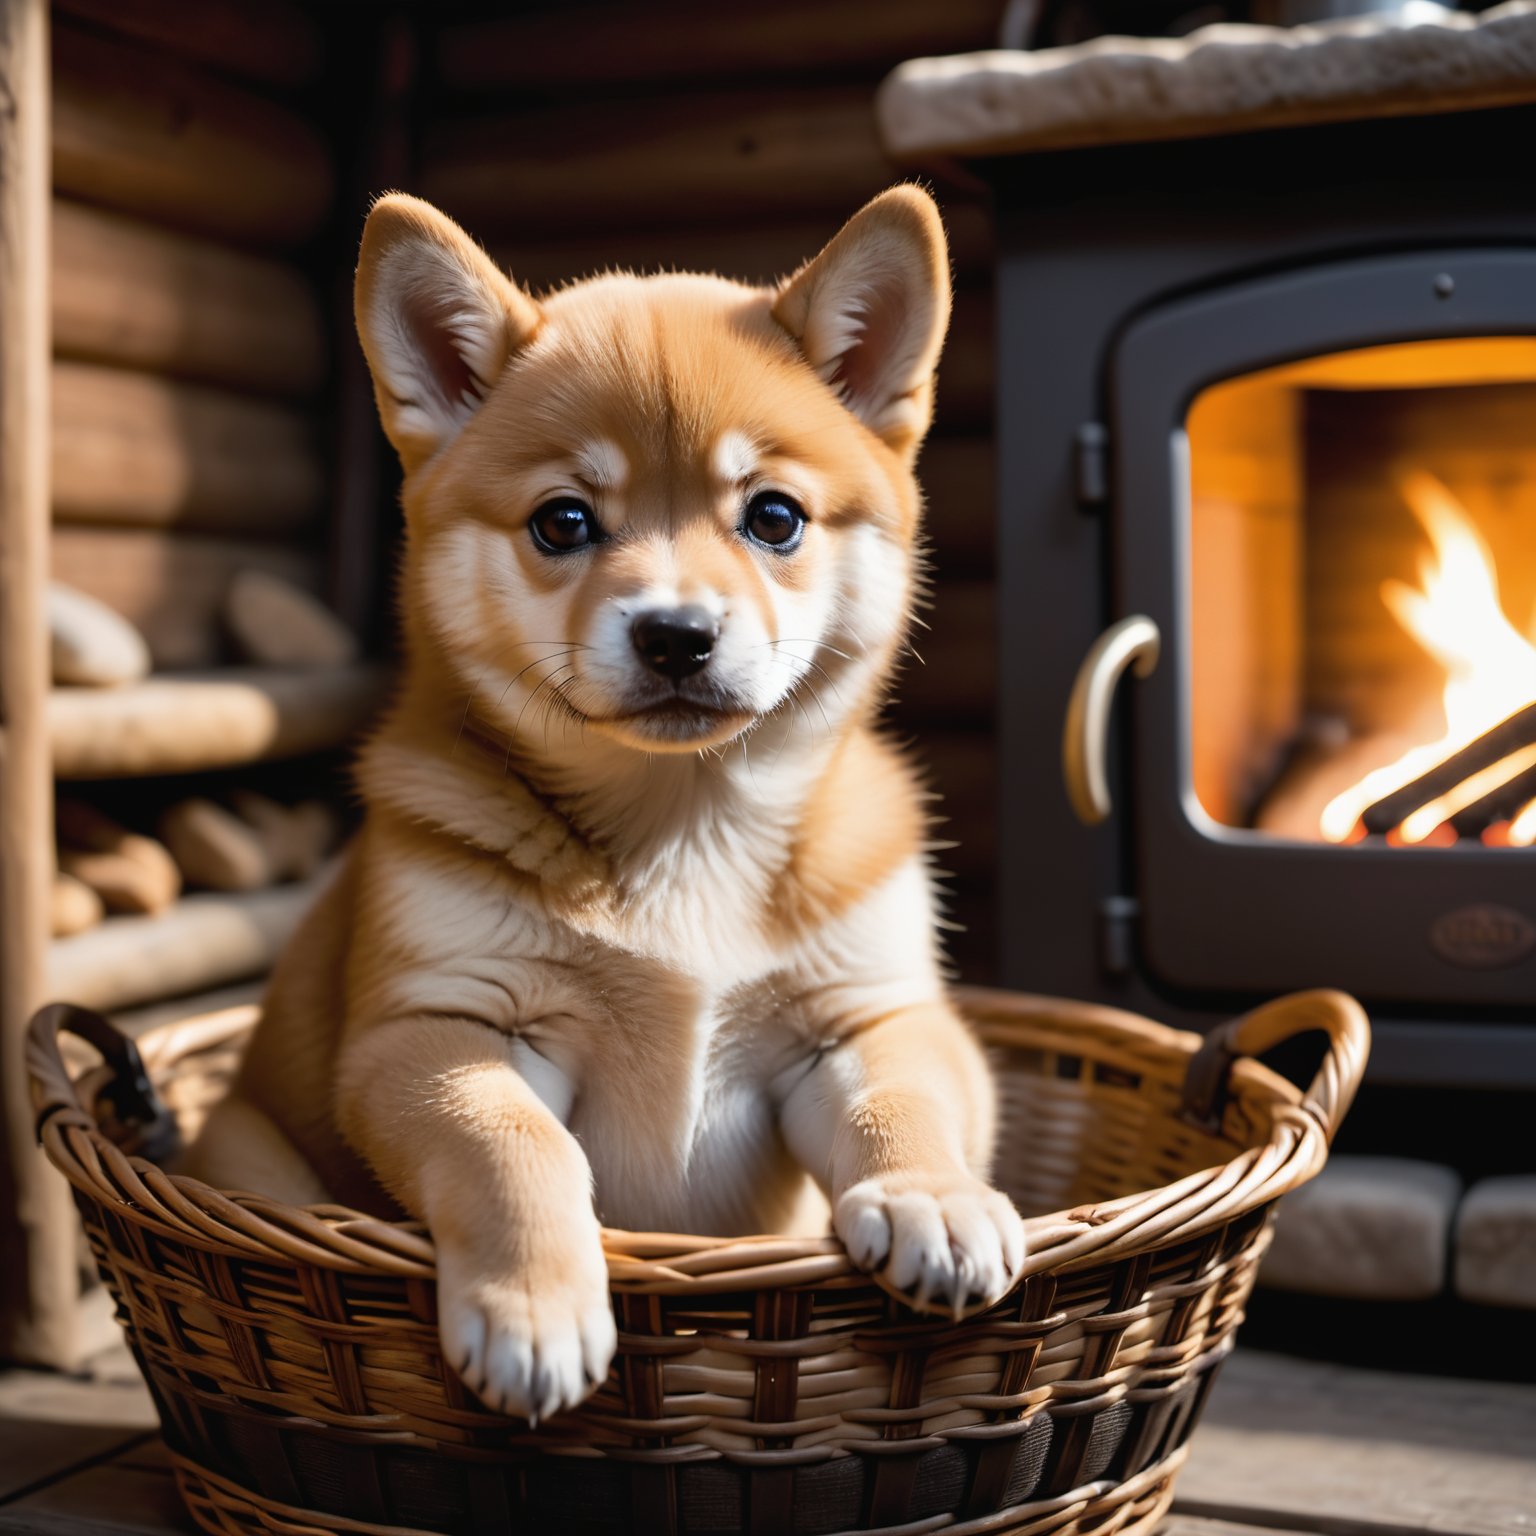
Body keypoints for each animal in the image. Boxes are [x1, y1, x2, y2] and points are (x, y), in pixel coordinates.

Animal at [188, 185, 1019, 1419]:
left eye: (775, 517)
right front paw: (533, 1310)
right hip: (244, 1146)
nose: (676, 635)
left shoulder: (865, 1014)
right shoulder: (438, 1029)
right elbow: (515, 1150)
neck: (686, 830)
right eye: (564, 522)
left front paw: (937, 1200)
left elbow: (901, 1102)